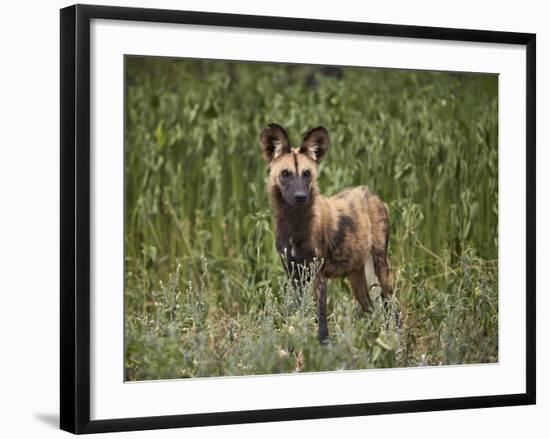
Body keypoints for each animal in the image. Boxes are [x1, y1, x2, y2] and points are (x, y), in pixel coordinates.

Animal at [262, 123, 394, 344]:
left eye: (307, 173)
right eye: (286, 173)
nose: (300, 197)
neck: (295, 225)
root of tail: (371, 193)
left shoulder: (318, 276)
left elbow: (321, 322)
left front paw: (323, 347)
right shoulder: (294, 276)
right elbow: (298, 317)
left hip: (381, 269)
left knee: (393, 310)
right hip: (356, 277)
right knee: (371, 311)